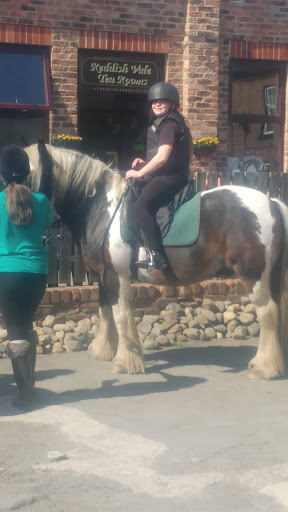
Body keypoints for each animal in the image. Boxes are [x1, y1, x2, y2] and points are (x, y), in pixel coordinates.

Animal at [24, 143, 288, 380]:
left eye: (24, 176)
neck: (102, 207)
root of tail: (272, 203)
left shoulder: (116, 275)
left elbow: (120, 314)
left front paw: (125, 362)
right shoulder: (101, 275)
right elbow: (105, 310)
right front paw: (103, 350)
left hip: (253, 275)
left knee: (268, 313)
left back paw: (263, 368)